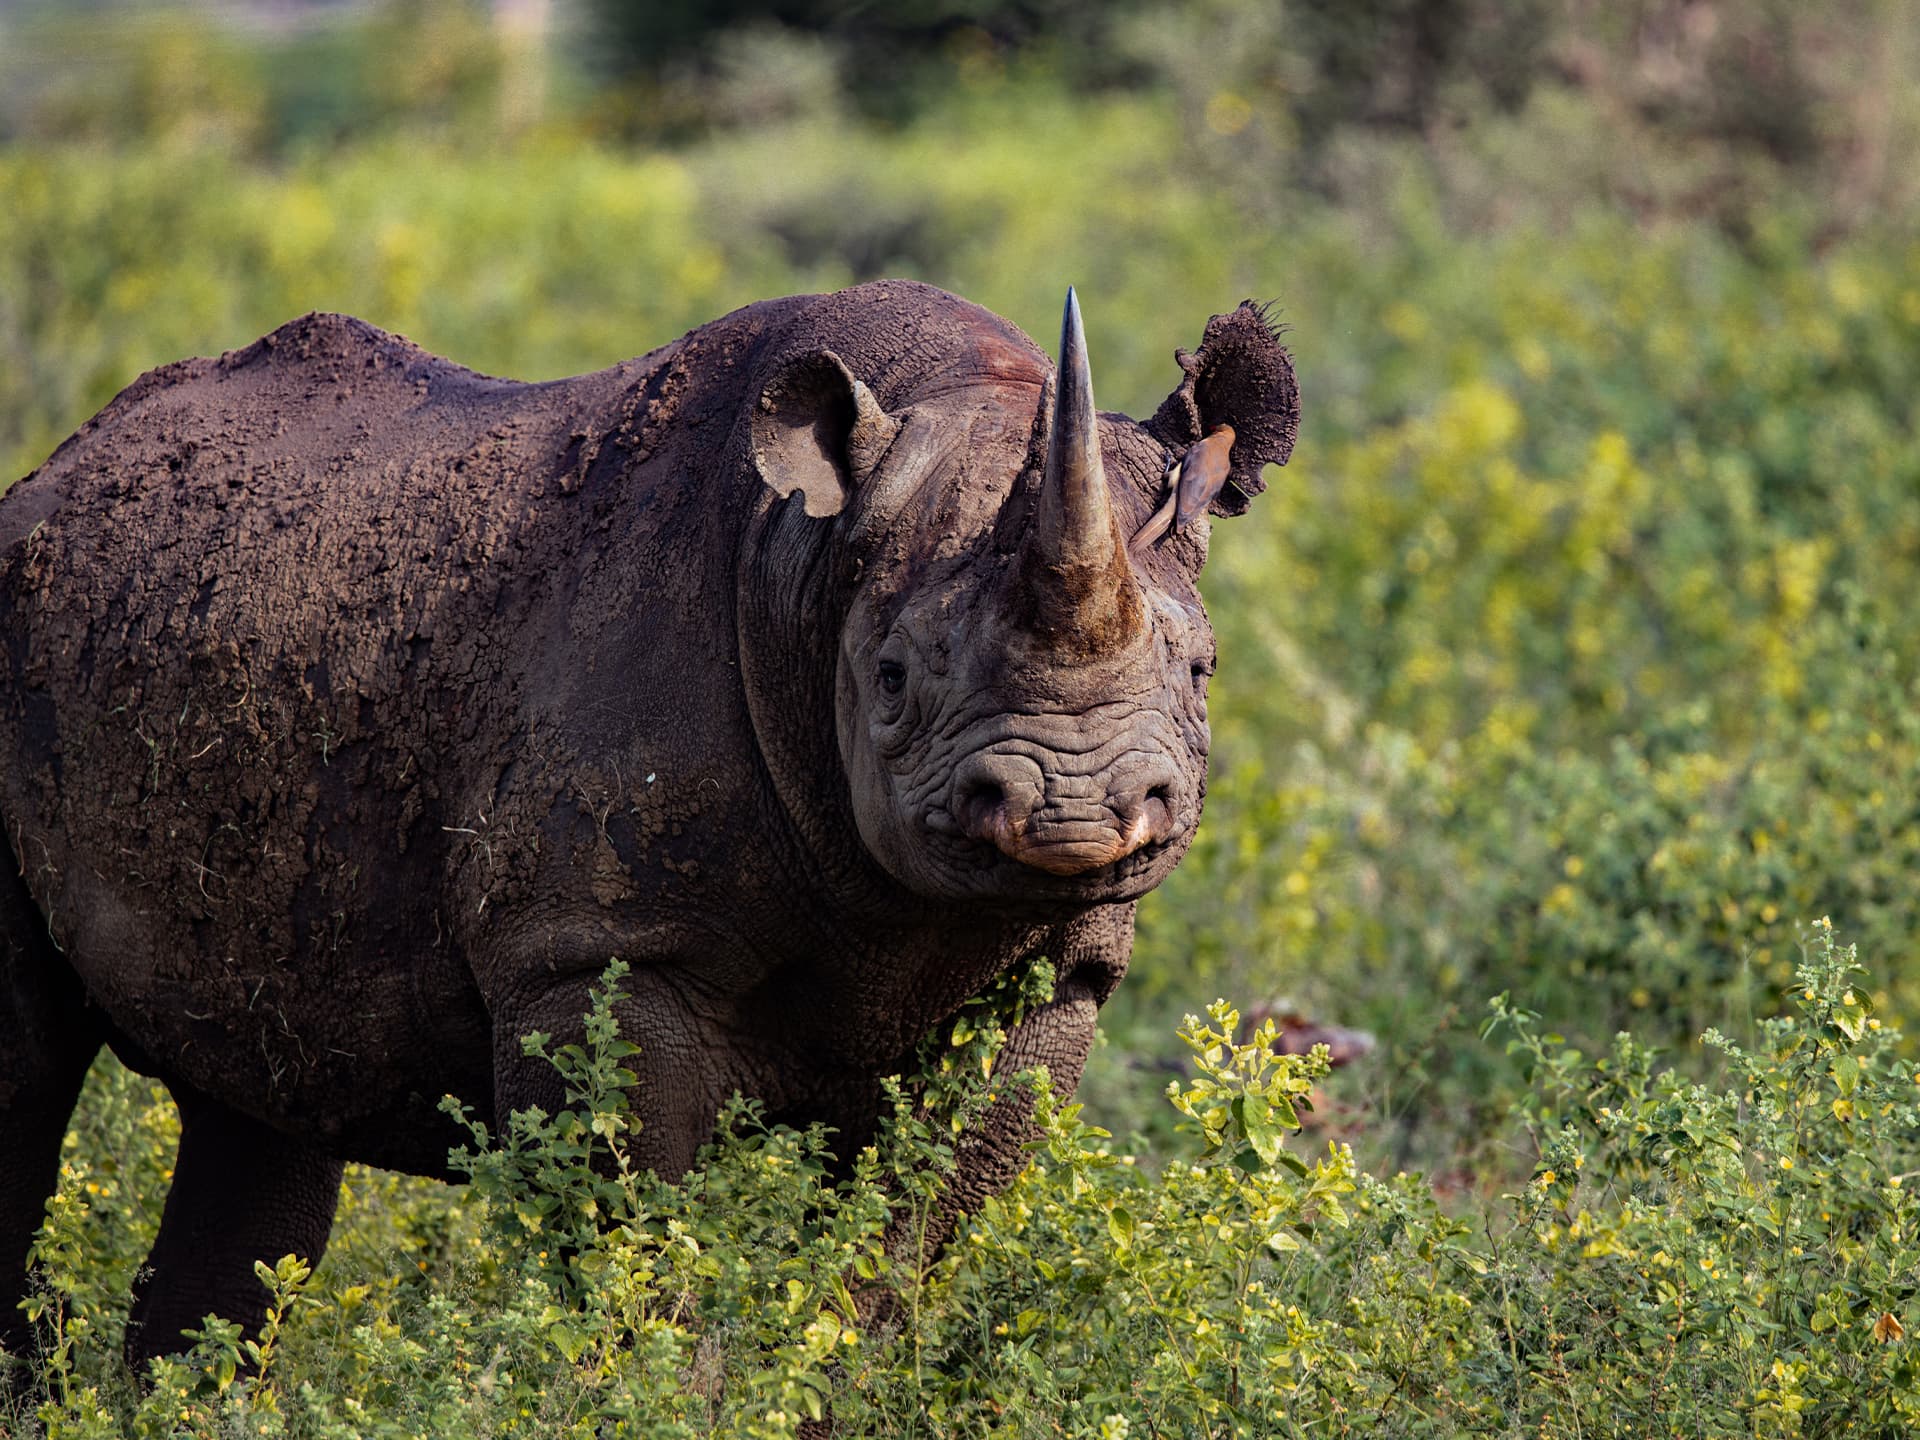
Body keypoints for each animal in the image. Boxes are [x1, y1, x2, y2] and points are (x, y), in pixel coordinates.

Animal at [0, 282, 1297, 1370]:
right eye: (888, 678)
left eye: (1201, 672)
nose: (1072, 813)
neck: (813, 565)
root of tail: (55, 468)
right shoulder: (595, 950)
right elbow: (630, 1229)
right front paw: (657, 1389)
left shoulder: (1051, 979)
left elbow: (907, 1237)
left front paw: (834, 1384)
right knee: (28, 1075)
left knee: (258, 1106)